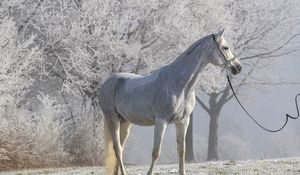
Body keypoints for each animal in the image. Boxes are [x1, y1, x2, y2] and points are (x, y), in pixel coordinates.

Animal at [97, 29, 243, 174]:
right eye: (225, 47)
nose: (238, 67)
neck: (178, 84)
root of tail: (107, 83)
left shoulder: (183, 122)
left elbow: (182, 151)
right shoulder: (161, 121)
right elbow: (156, 152)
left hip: (125, 122)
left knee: (120, 149)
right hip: (112, 118)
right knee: (117, 149)